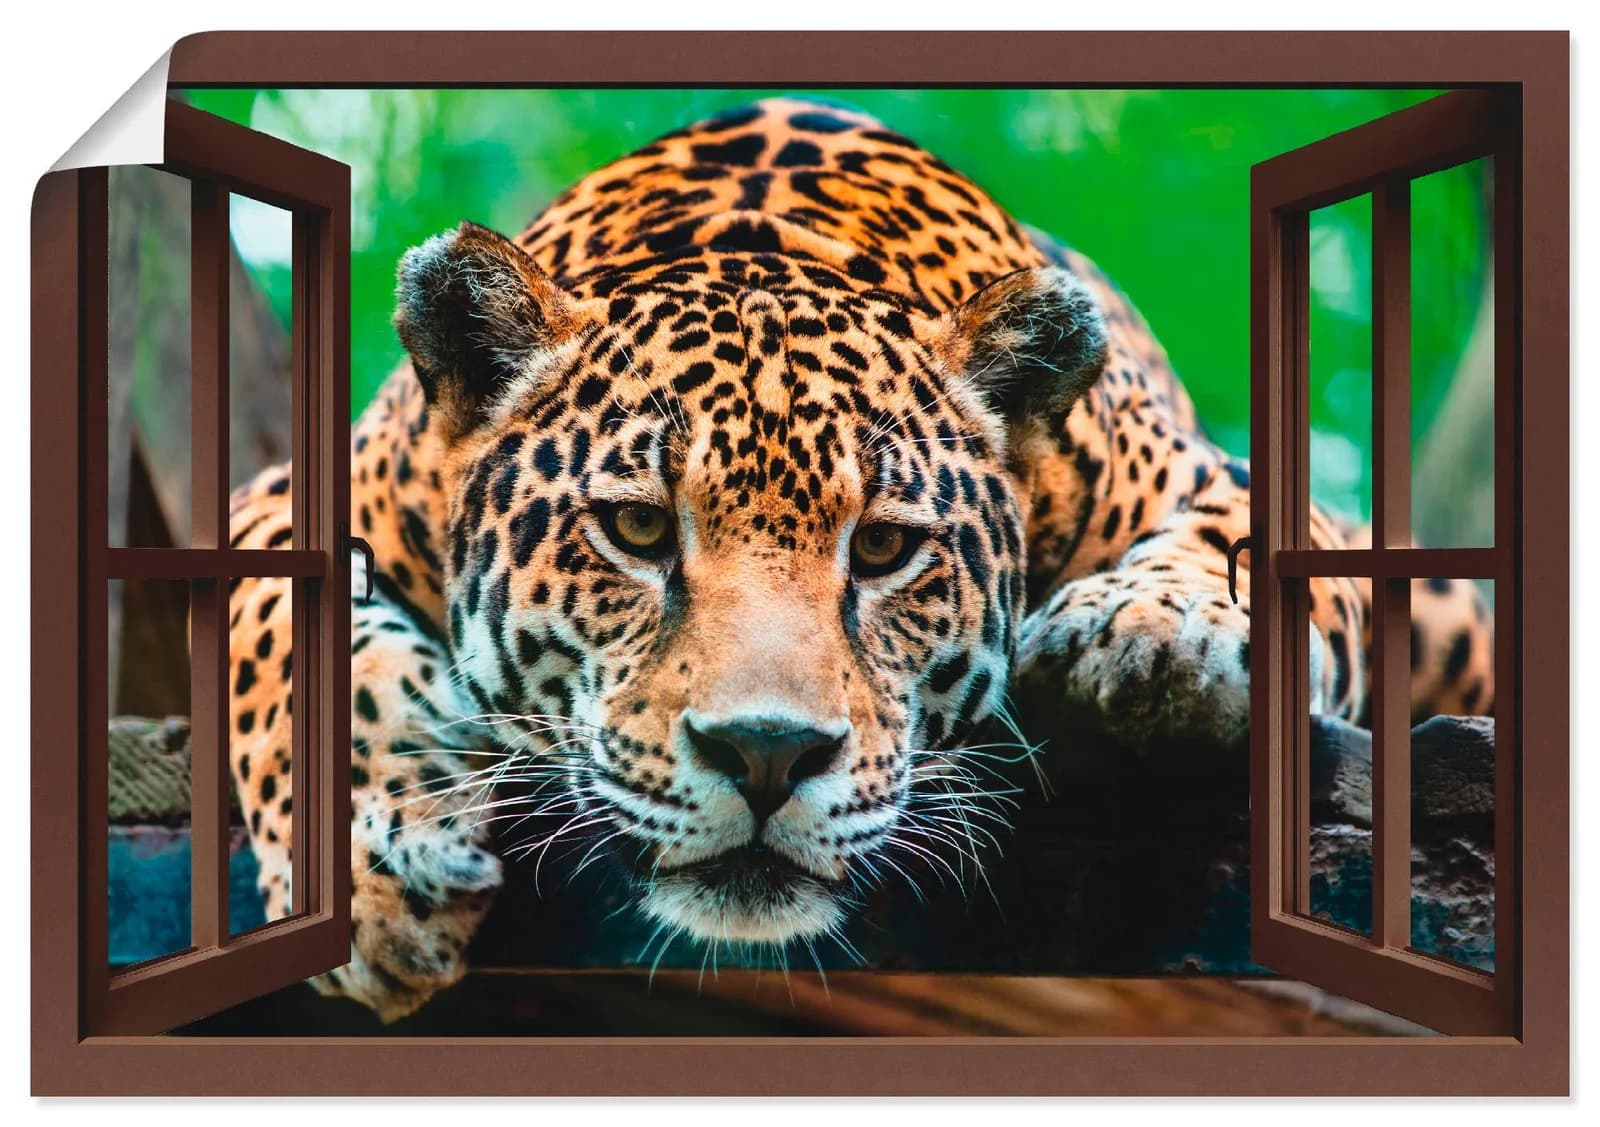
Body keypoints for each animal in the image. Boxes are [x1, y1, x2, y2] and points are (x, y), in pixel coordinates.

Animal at [225, 97, 1495, 1021]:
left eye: (884, 547)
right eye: (637, 530)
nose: (765, 753)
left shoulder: (1217, 476)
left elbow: (1242, 552)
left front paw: (1148, 633)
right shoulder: (294, 489)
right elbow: (286, 639)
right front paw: (376, 869)